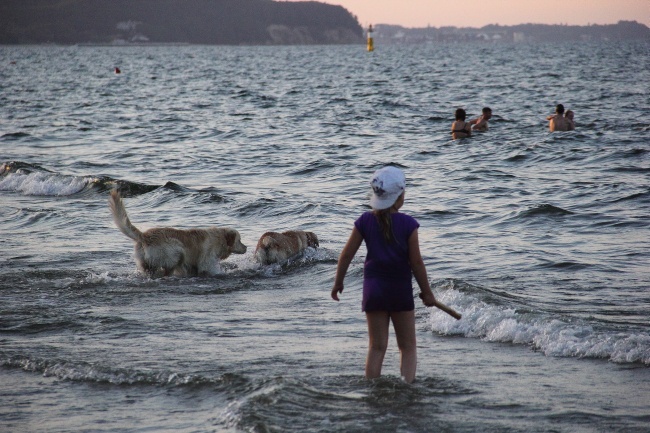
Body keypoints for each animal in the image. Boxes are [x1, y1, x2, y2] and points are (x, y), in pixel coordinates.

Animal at [109, 190, 246, 276]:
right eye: (239, 240)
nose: (246, 247)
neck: (220, 239)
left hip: (146, 264)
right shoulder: (207, 262)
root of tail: (145, 236)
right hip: (176, 252)